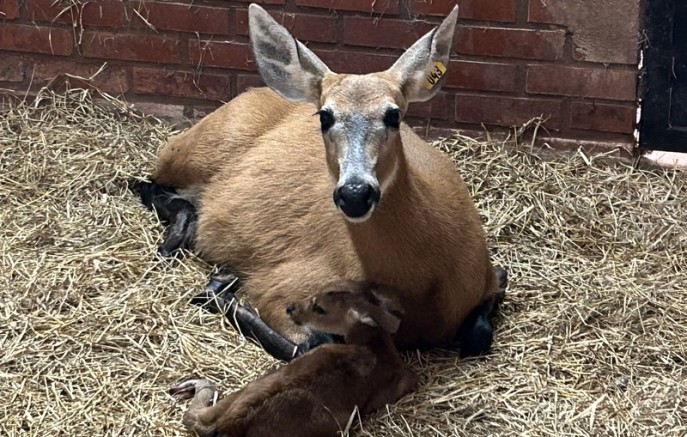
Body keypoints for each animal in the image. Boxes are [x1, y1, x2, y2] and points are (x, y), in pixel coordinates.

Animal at [141, 4, 506, 362]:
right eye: (325, 116)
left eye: (393, 115)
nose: (355, 193)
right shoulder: (280, 284)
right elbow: (311, 344)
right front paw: (220, 288)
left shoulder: (490, 276)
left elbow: (479, 334)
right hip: (193, 151)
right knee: (147, 182)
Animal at [172, 282, 420, 434]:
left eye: (320, 308)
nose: (291, 308)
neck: (375, 346)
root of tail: (232, 421)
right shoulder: (399, 384)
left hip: (251, 387)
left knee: (196, 417)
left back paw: (189, 385)